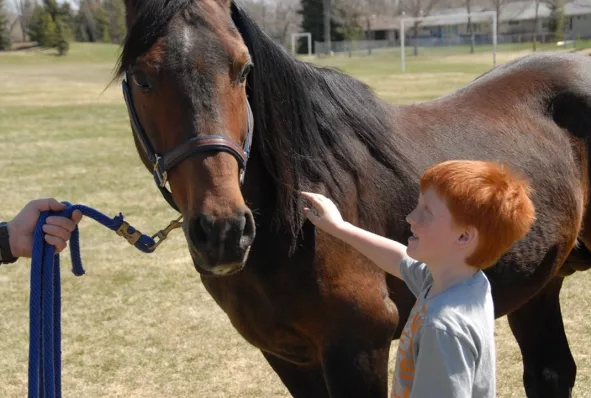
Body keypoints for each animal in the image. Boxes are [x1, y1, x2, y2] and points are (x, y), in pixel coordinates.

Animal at [113, 1, 591, 396]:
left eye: (244, 70)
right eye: (141, 78)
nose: (224, 231)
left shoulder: (358, 348)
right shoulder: (288, 355)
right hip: (538, 284)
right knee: (551, 372)